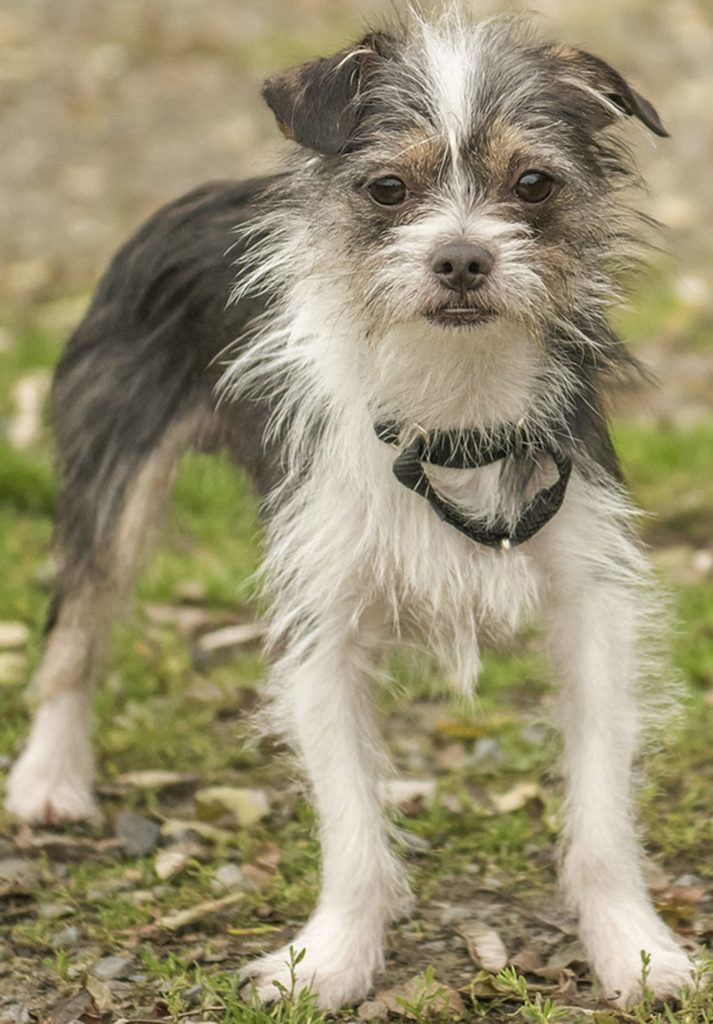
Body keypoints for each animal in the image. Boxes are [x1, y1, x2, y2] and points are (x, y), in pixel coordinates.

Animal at [5, 4, 696, 1011]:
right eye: (385, 188)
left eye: (532, 184)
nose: (462, 256)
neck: (453, 406)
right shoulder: (320, 627)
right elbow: (348, 829)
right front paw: (327, 961)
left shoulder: (592, 602)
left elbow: (602, 815)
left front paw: (635, 951)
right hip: (113, 475)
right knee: (77, 622)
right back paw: (49, 777)